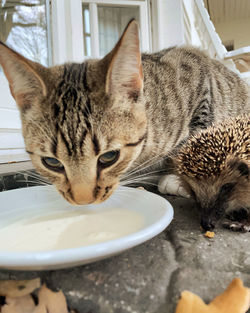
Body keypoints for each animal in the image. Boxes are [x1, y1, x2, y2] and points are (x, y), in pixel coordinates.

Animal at [0, 20, 250, 205]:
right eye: (51, 162)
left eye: (109, 157)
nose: (83, 201)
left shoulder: (198, 71)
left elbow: (198, 131)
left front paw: (178, 177)